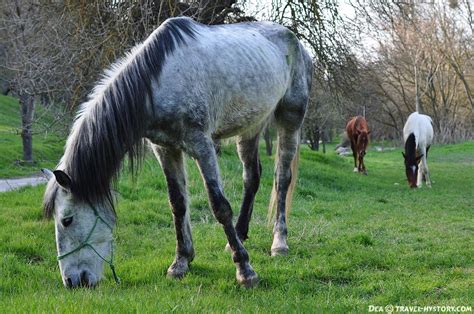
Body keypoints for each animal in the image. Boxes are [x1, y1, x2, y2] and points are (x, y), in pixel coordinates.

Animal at [42, 16, 312, 288]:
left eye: (67, 220)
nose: (72, 281)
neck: (159, 79)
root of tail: (294, 39)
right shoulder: (165, 148)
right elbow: (177, 203)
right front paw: (181, 262)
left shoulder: (201, 145)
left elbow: (220, 206)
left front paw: (245, 271)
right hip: (250, 126)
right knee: (251, 178)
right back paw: (238, 236)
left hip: (290, 118)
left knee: (282, 179)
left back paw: (279, 243)